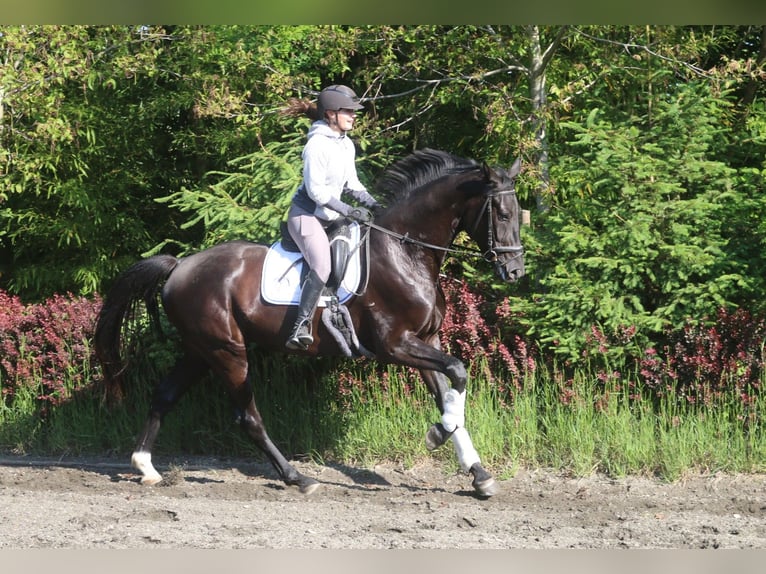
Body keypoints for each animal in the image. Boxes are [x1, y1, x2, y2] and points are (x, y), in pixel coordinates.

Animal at [93, 148, 524, 500]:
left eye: (519, 214)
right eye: (501, 214)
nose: (515, 271)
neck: (405, 250)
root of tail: (180, 266)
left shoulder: (425, 339)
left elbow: (448, 391)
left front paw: (478, 473)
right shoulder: (395, 344)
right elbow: (458, 372)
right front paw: (438, 434)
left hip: (201, 350)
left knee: (165, 395)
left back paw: (146, 466)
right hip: (228, 352)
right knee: (248, 417)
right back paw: (297, 477)